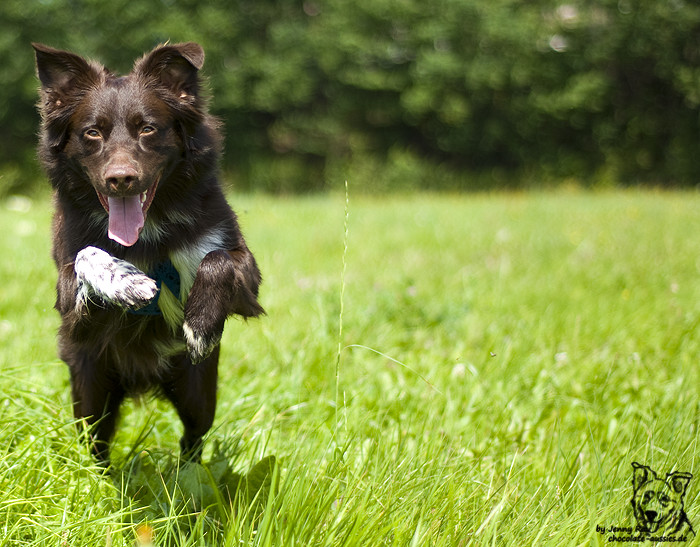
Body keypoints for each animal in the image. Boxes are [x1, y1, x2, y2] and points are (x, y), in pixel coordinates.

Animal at [32, 40, 264, 464]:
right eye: (92, 132)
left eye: (147, 128)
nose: (121, 179)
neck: (147, 234)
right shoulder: (72, 306)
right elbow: (88, 256)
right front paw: (126, 282)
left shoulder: (244, 273)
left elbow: (218, 259)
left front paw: (201, 325)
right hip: (91, 388)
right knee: (96, 442)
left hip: (197, 390)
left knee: (193, 437)